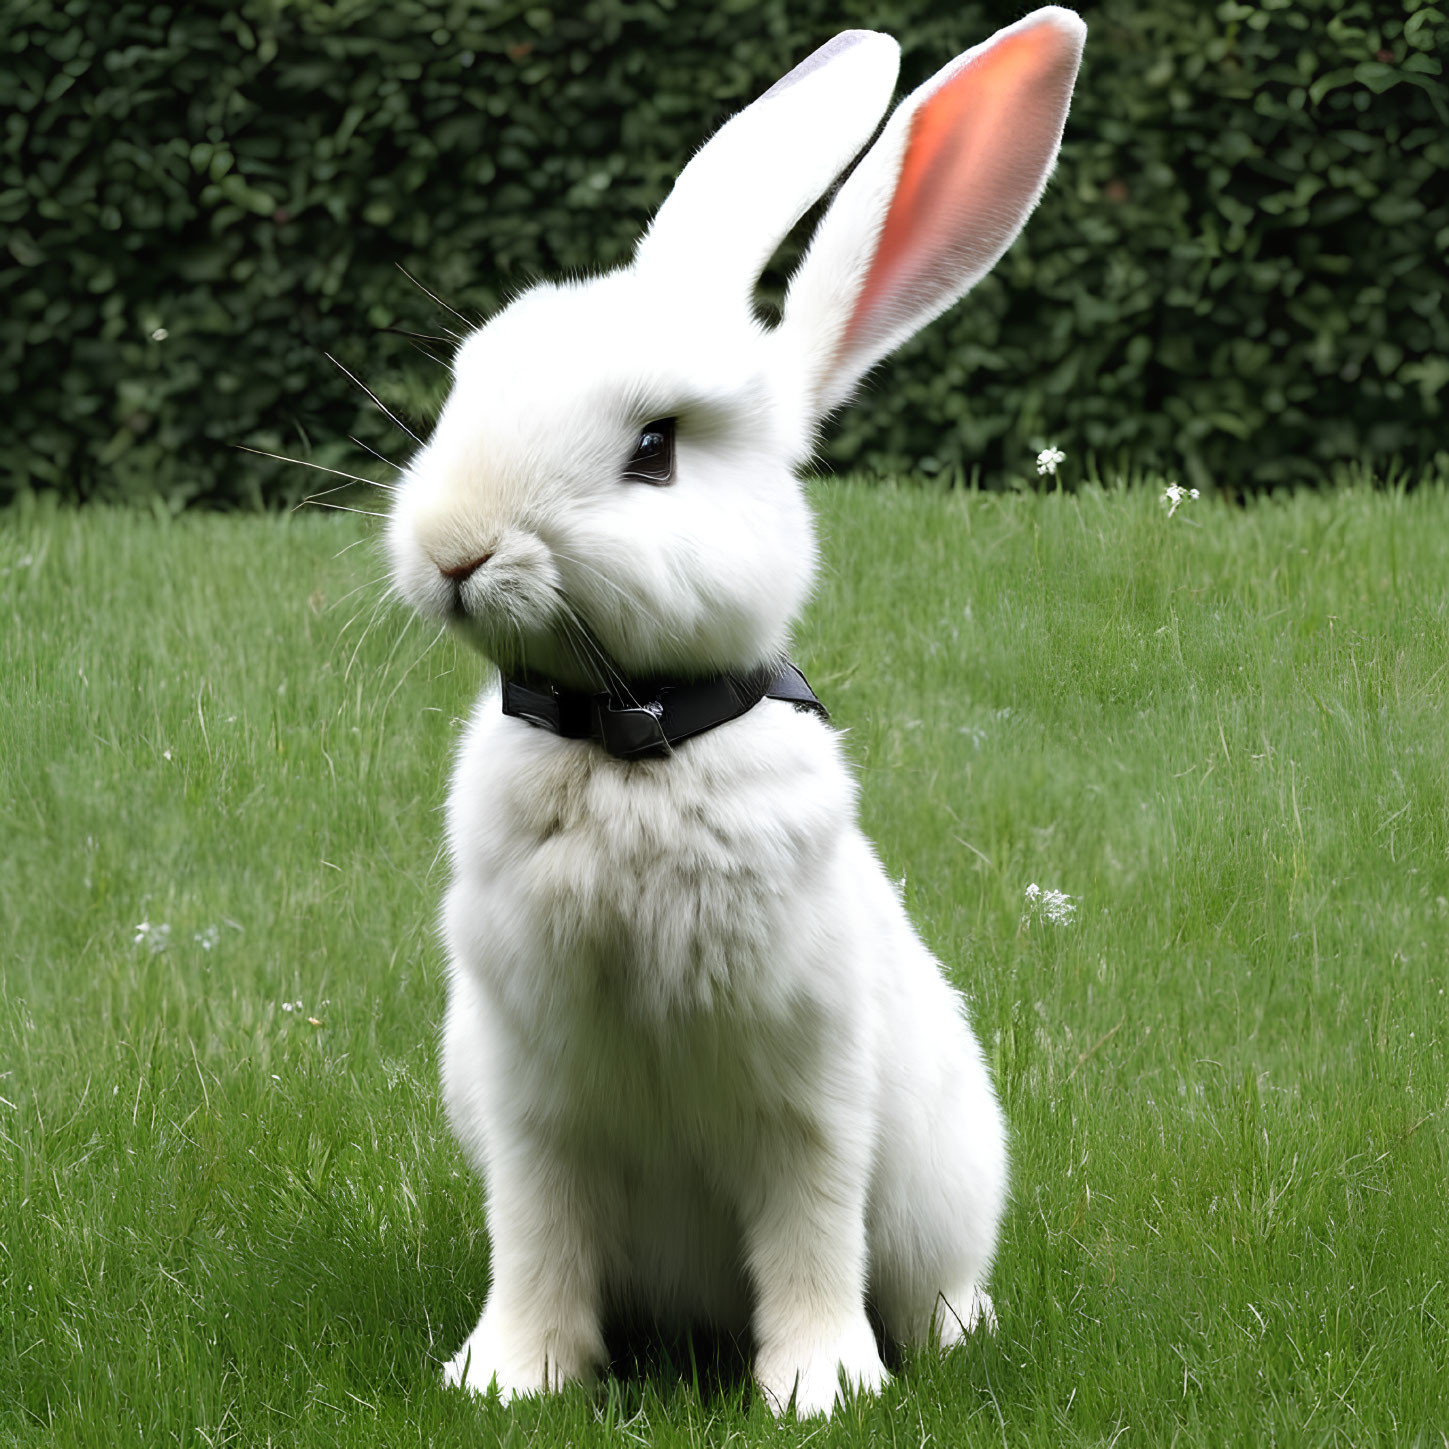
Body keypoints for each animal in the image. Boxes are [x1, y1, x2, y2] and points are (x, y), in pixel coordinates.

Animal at [388, 8, 1089, 1414]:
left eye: (656, 449)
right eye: (466, 385)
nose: (451, 550)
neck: (627, 735)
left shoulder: (807, 1088)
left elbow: (812, 1229)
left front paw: (823, 1390)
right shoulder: (532, 1101)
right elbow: (535, 1243)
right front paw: (507, 1381)